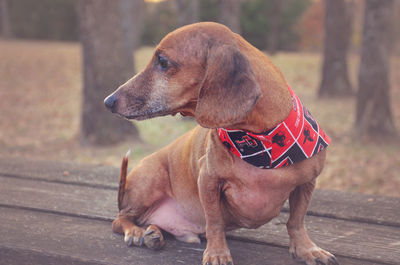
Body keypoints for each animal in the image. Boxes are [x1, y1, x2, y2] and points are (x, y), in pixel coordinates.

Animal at [103, 22, 338, 264]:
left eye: (163, 61)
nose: (108, 101)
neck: (262, 144)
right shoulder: (208, 180)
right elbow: (214, 222)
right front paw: (217, 253)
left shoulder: (307, 183)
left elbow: (296, 221)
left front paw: (306, 249)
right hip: (149, 181)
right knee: (120, 219)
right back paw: (137, 232)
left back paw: (154, 233)